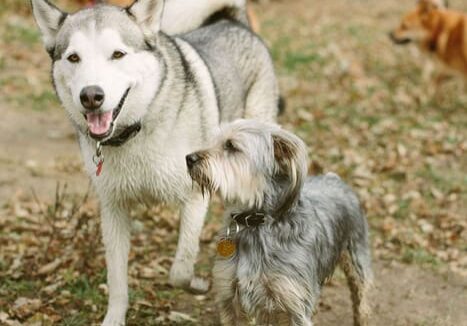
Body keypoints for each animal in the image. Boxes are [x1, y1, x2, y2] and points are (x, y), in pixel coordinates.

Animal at [186, 120, 372, 326]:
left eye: (231, 146)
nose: (189, 158)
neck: (256, 222)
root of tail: (333, 177)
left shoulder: (293, 304)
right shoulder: (230, 297)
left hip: (357, 258)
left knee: (361, 300)